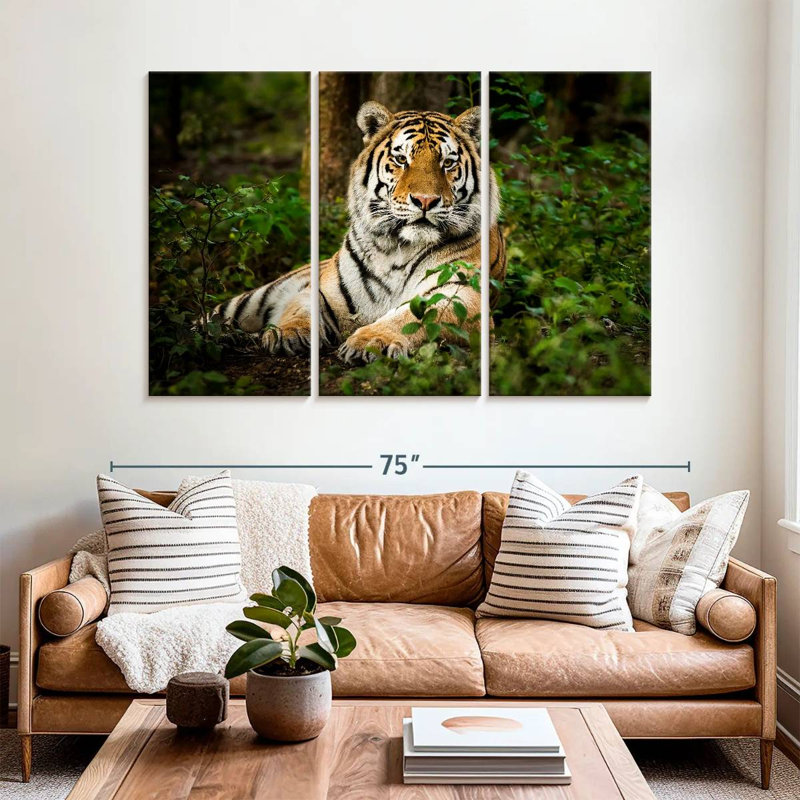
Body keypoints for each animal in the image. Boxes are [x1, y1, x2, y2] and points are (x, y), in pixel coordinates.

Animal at [212, 101, 506, 363]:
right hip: (250, 301)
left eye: (447, 163)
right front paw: (288, 333)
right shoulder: (323, 290)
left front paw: (372, 341)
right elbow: (300, 307)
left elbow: (411, 316)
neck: (398, 249)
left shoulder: (460, 295)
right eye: (401, 159)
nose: (425, 201)